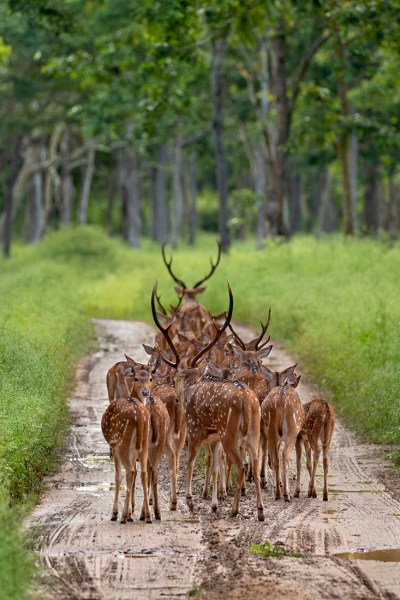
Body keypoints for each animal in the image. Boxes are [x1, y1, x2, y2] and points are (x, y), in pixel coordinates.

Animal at [154, 282, 266, 520]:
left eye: (176, 376)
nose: (176, 395)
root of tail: (248, 402)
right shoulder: (214, 438)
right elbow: (214, 466)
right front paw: (214, 504)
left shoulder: (195, 430)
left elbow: (189, 462)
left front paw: (189, 501)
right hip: (253, 431)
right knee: (253, 461)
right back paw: (260, 511)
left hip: (230, 433)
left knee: (241, 466)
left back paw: (234, 509)